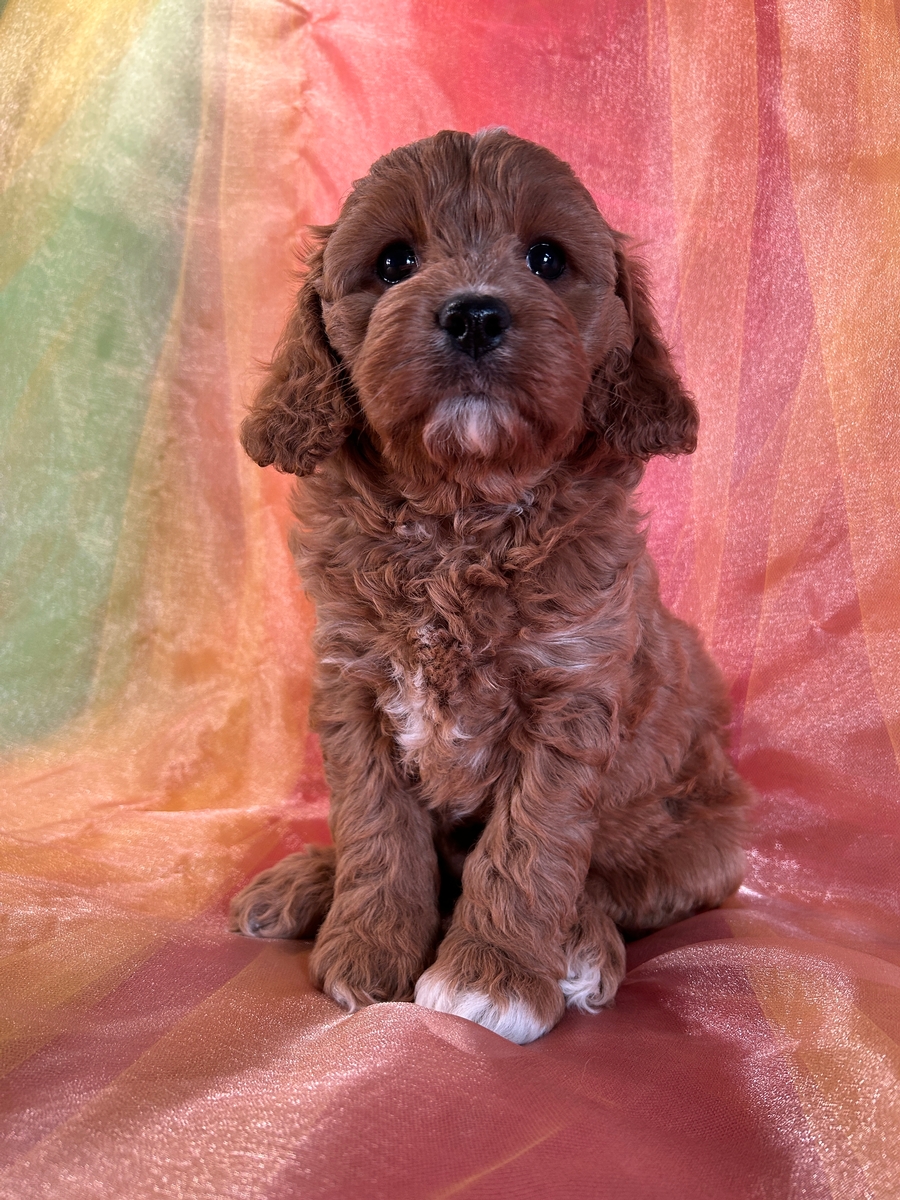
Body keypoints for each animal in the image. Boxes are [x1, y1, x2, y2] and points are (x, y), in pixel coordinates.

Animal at [229, 129, 748, 1041]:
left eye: (546, 259)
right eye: (394, 262)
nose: (474, 312)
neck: (460, 511)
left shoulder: (569, 698)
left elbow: (531, 848)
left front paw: (494, 977)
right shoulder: (353, 689)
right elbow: (375, 831)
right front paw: (366, 948)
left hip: (706, 837)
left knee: (615, 881)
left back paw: (579, 948)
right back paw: (305, 883)